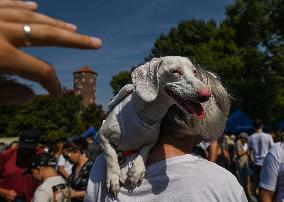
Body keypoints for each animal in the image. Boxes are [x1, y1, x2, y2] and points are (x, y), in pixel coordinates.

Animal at [97, 56, 211, 196]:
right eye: (175, 71)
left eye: (194, 72)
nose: (206, 95)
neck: (148, 115)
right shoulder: (101, 136)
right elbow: (110, 155)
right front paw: (113, 177)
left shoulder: (152, 141)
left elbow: (145, 151)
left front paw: (136, 172)